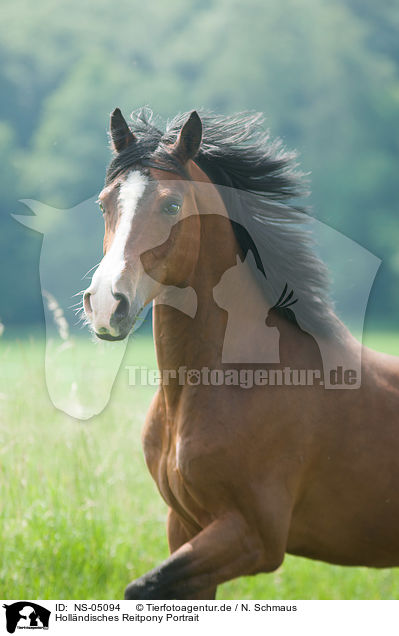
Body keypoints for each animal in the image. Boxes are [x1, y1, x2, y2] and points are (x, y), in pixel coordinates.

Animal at [82, 107, 399, 600]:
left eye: (172, 205)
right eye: (104, 204)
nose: (104, 304)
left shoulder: (254, 537)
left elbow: (142, 587)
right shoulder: (185, 527)